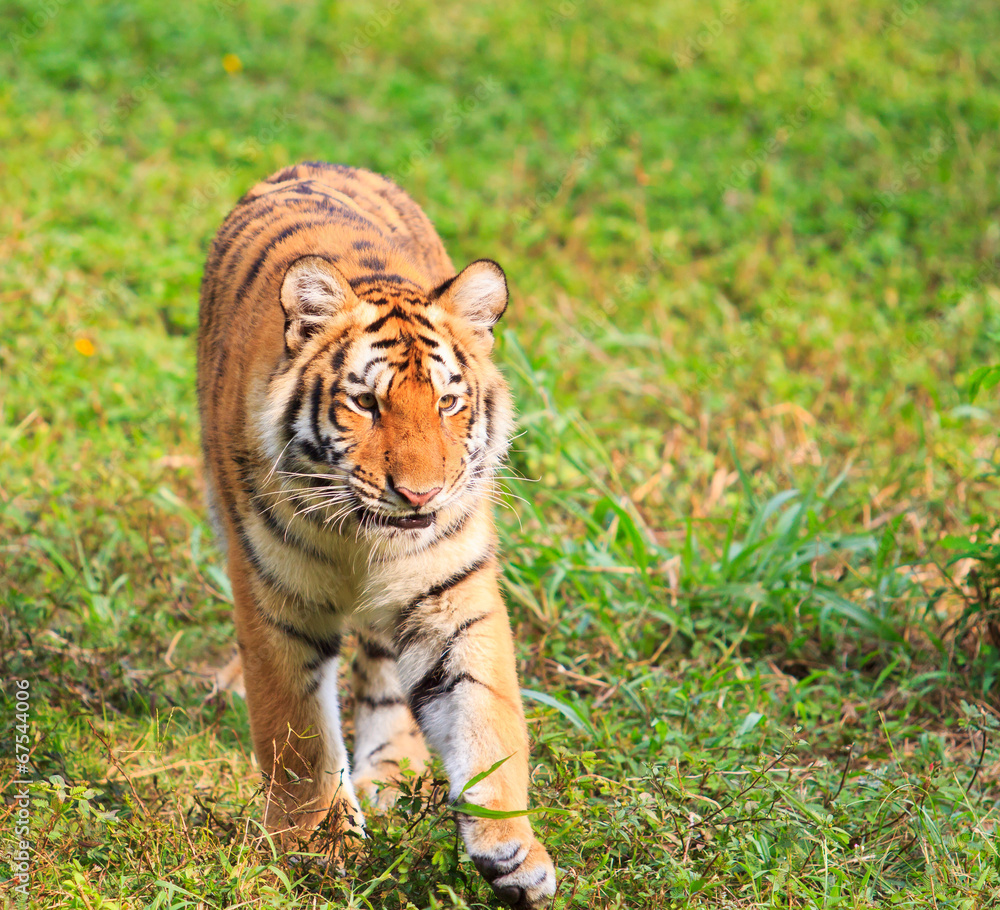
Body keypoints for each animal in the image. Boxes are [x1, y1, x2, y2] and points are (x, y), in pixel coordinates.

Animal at [196, 161, 556, 908]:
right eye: (365, 403)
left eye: (448, 403)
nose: (421, 494)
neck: (364, 538)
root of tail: (320, 162)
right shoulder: (277, 602)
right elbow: (298, 738)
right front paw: (319, 850)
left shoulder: (451, 595)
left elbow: (488, 713)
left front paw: (512, 850)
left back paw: (392, 772)